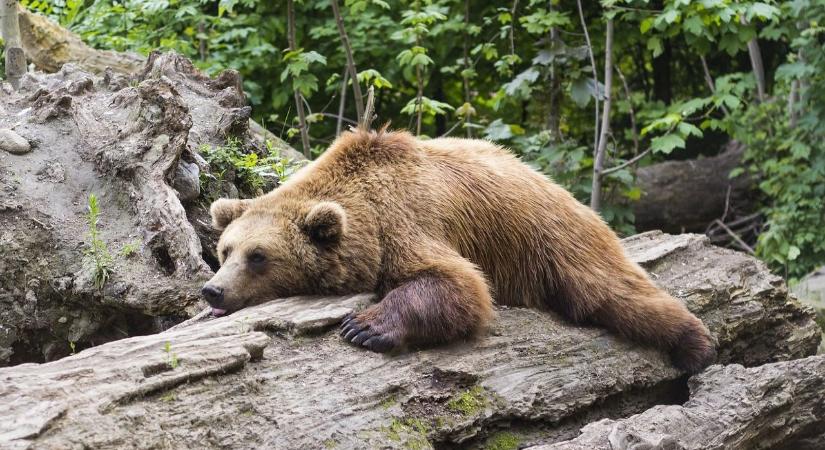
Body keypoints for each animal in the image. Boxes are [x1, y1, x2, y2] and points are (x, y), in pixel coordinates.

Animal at [204, 127, 716, 372]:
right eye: (225, 251)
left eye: (258, 256)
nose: (213, 291)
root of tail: (553, 183)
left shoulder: (407, 222)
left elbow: (458, 284)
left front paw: (364, 327)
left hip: (553, 239)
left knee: (612, 292)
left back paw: (696, 343)